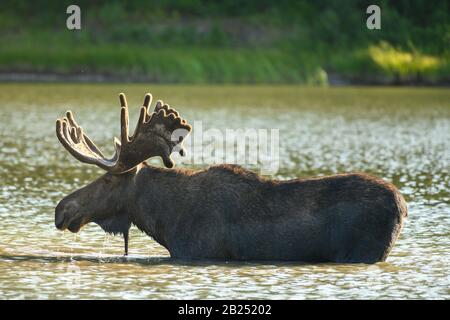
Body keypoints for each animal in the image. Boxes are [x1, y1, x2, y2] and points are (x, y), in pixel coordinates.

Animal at [54, 92, 406, 262]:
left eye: (108, 180)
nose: (61, 209)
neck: (165, 220)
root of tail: (402, 206)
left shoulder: (197, 251)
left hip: (362, 251)